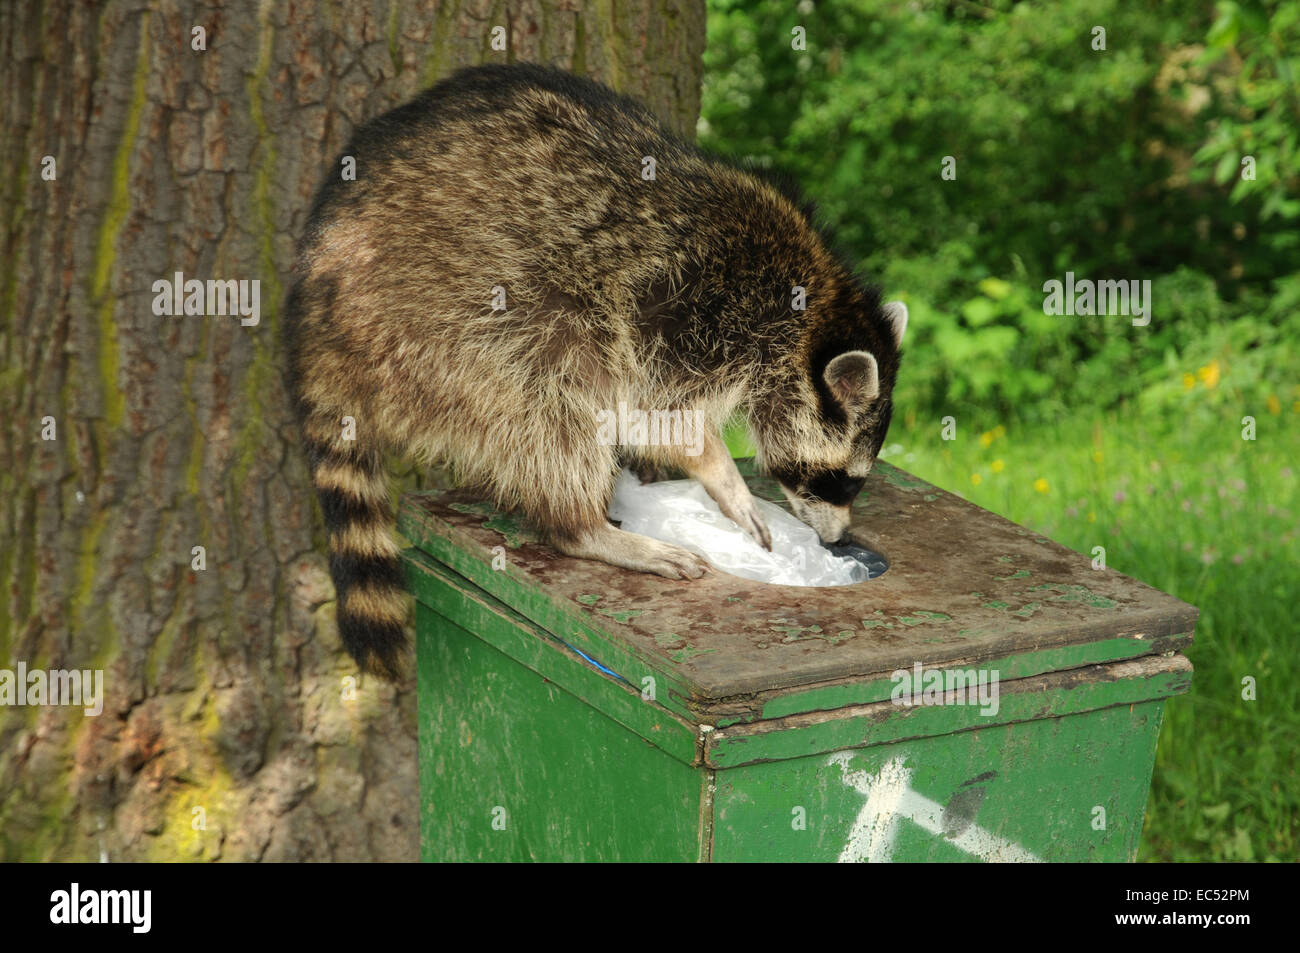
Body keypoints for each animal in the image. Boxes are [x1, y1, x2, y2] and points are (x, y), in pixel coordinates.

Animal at [287, 63, 904, 676]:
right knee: (549, 402)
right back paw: (581, 526)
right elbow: (657, 416)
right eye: (840, 479)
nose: (839, 539)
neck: (811, 315)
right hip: (441, 322)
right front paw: (724, 478)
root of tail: (314, 305)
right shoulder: (692, 314)